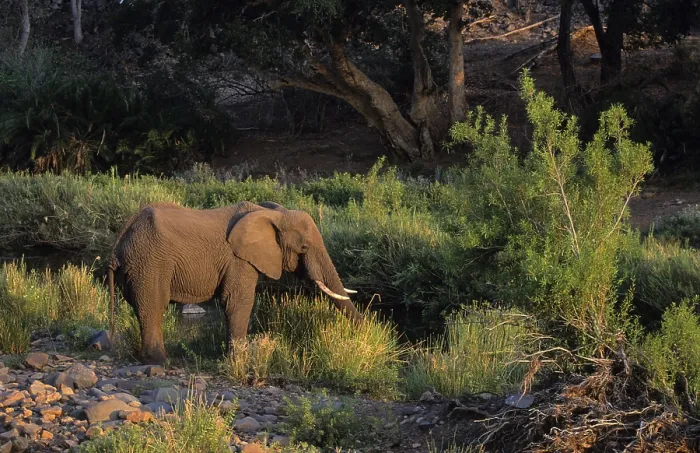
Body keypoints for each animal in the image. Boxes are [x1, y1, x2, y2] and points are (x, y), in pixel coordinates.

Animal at [107, 200, 362, 365]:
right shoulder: (239, 260)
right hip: (149, 263)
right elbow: (238, 301)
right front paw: (239, 361)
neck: (272, 214)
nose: (364, 331)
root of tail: (120, 239)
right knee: (152, 307)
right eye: (304, 248)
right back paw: (159, 361)